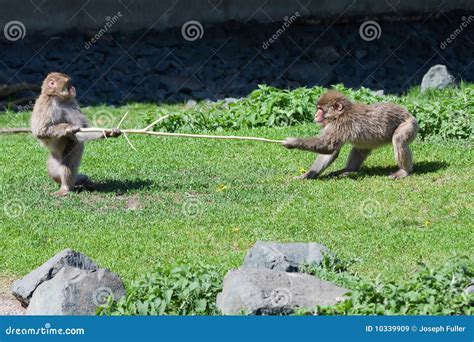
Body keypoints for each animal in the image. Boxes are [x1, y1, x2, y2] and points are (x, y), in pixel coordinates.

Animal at [282, 91, 418, 180]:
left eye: (320, 109)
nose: (315, 116)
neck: (340, 114)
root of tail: (408, 113)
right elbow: (330, 151)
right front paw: (308, 175)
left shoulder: (340, 124)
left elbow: (327, 146)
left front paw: (292, 142)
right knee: (360, 147)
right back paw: (348, 170)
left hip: (409, 125)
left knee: (398, 139)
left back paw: (404, 171)